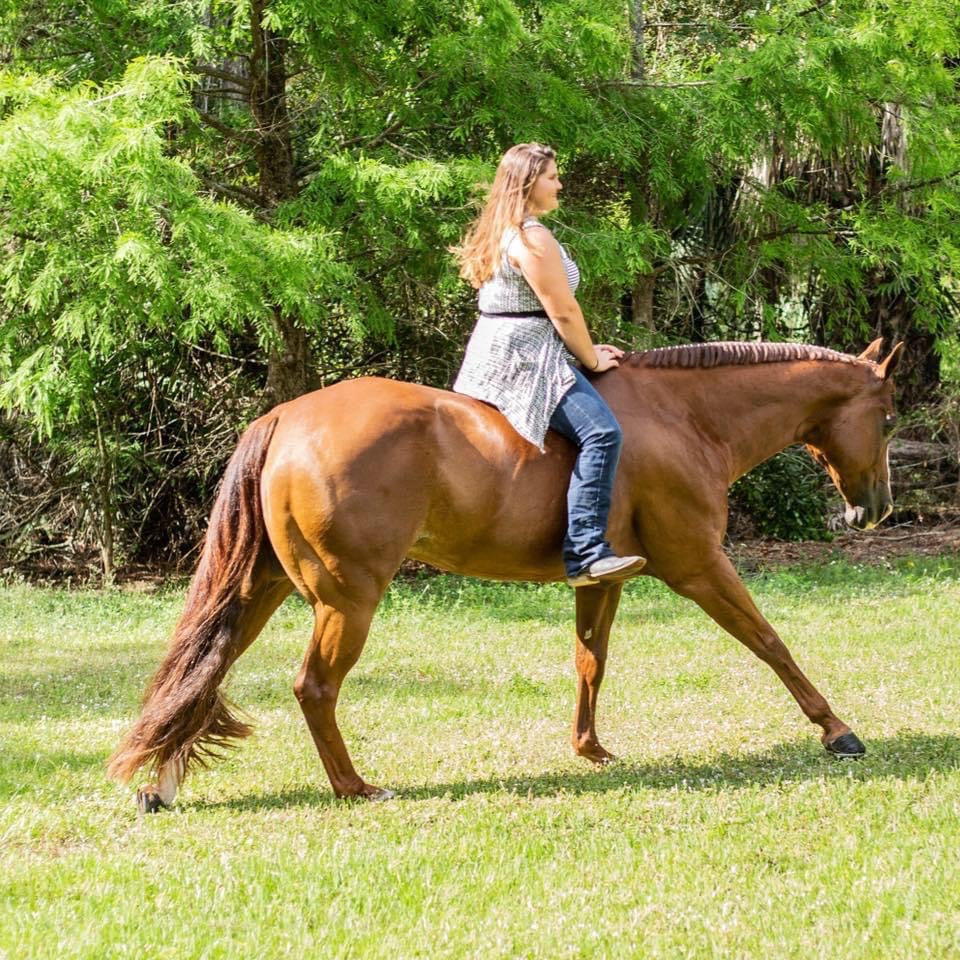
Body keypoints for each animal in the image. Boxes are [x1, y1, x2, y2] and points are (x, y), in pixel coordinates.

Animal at [109, 338, 904, 808]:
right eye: (890, 418)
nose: (874, 508)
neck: (682, 417)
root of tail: (284, 418)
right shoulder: (700, 566)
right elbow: (771, 643)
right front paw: (837, 731)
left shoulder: (603, 580)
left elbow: (591, 663)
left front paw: (591, 749)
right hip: (347, 600)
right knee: (313, 687)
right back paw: (353, 786)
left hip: (262, 591)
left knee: (201, 670)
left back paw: (163, 783)